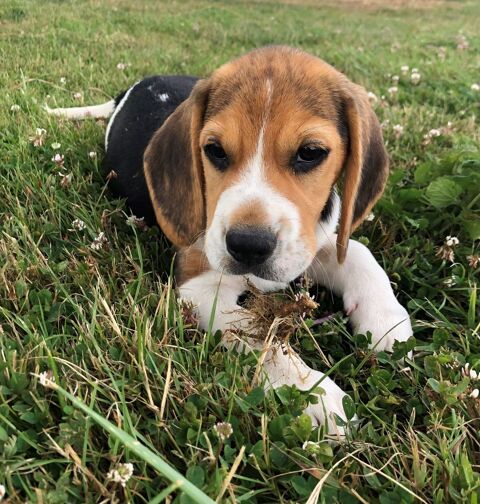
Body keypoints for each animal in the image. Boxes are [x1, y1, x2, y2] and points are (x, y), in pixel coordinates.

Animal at [48, 45, 412, 436]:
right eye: (215, 150)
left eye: (311, 152)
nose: (248, 245)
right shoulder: (199, 287)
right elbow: (256, 333)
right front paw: (312, 393)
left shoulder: (314, 239)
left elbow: (357, 252)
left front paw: (386, 322)